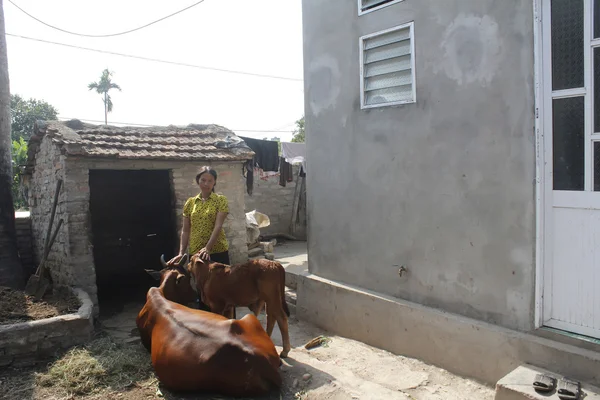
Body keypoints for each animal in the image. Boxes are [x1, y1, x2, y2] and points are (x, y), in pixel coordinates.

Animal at [152, 253, 292, 356]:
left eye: (191, 260)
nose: (188, 265)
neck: (207, 275)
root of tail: (275, 264)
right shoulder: (228, 306)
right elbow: (228, 320)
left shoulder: (216, 306)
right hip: (268, 300)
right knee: (271, 317)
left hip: (272, 298)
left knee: (281, 318)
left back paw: (285, 351)